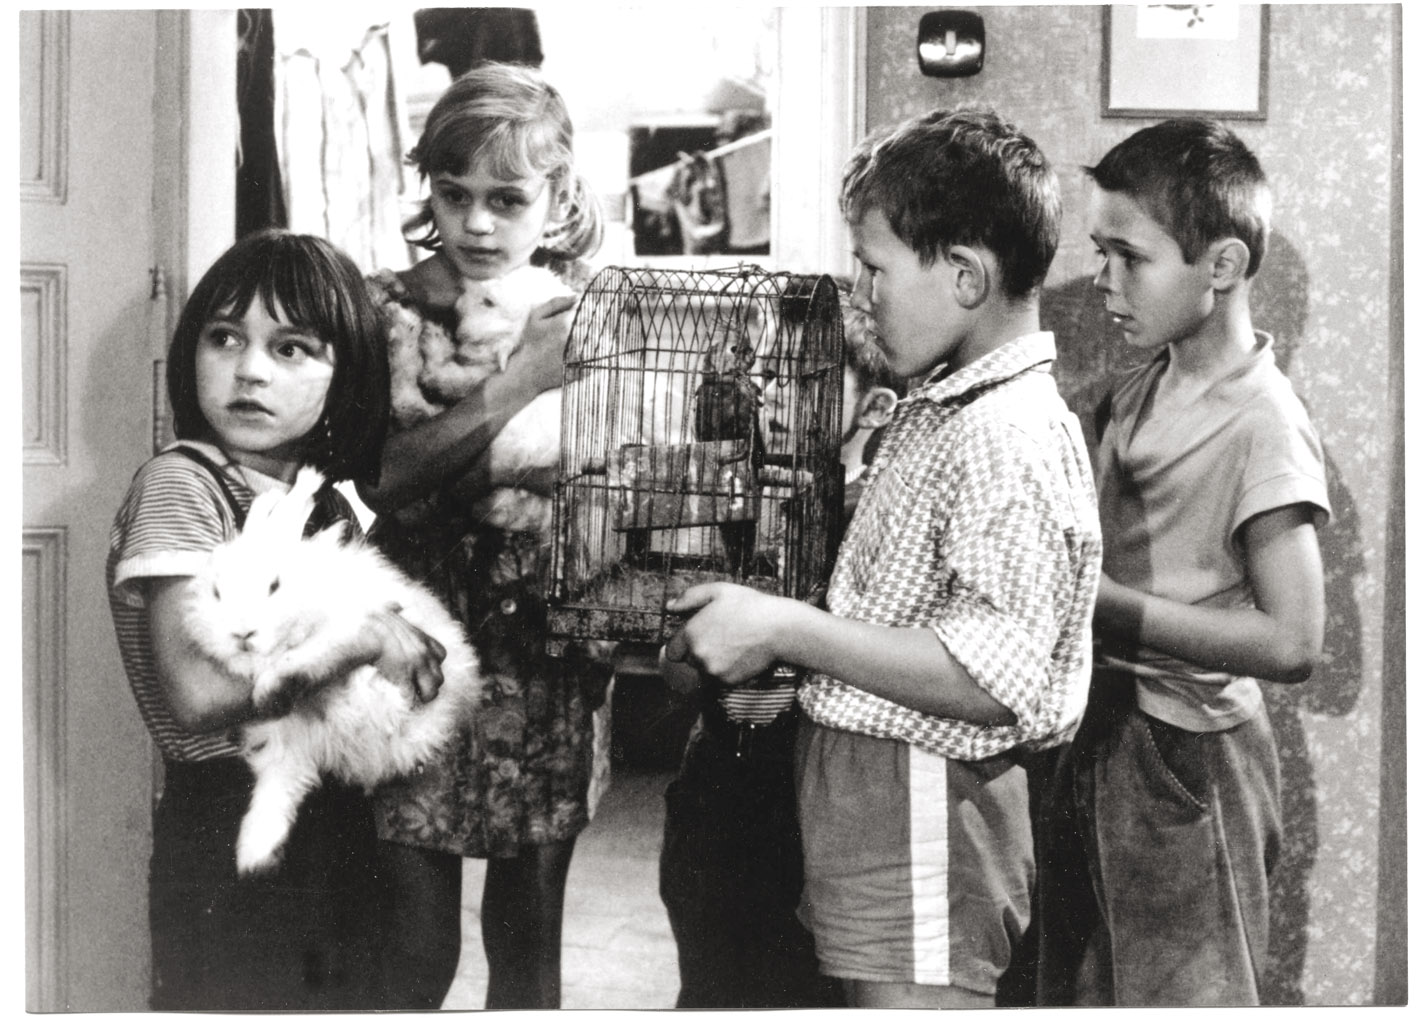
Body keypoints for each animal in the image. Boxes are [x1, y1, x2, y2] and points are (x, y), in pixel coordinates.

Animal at [184, 470, 481, 879]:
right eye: (215, 592)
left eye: (274, 586)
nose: (242, 633)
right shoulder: (285, 736)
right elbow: (277, 785)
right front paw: (253, 859)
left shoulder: (348, 630)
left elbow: (307, 657)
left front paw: (271, 687)